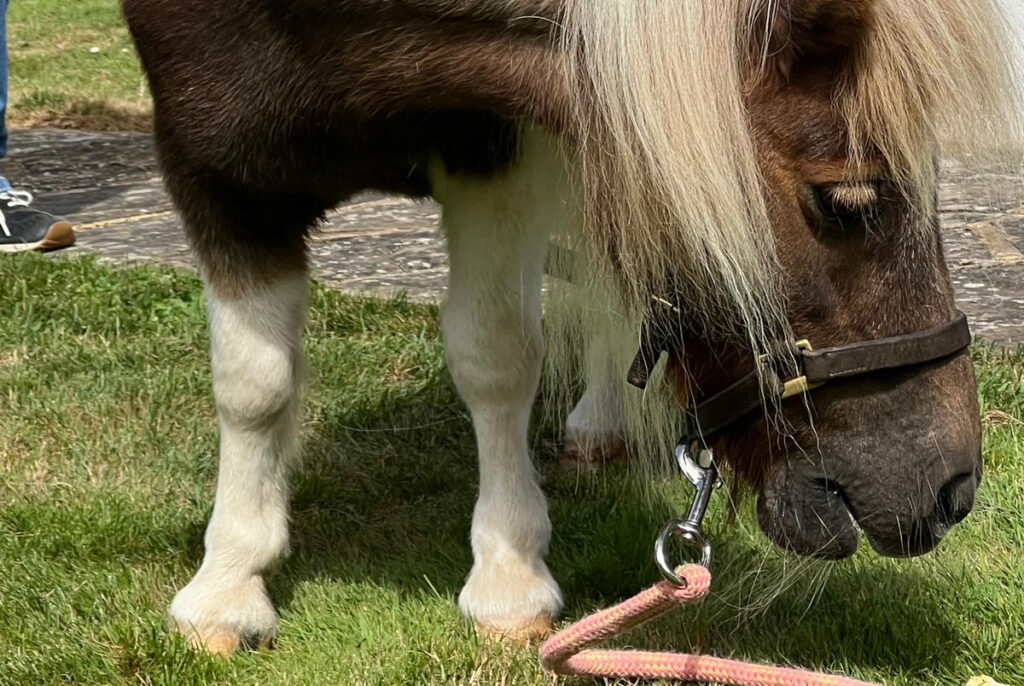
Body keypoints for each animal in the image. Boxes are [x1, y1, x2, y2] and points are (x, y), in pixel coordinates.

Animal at [120, 0, 1022, 655]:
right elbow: (253, 385)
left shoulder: (490, 141)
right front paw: (229, 583)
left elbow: (493, 353)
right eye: (844, 201)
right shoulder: (210, 162)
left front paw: (507, 575)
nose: (951, 490)